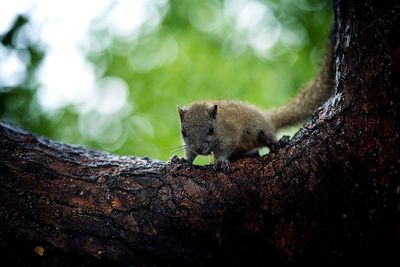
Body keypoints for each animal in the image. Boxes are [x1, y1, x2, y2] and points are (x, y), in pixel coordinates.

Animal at [175, 40, 334, 172]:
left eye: (211, 129)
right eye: (183, 132)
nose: (199, 149)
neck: (219, 122)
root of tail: (266, 116)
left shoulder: (229, 135)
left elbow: (223, 150)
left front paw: (220, 161)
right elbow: (189, 153)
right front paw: (184, 160)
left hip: (260, 128)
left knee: (268, 136)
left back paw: (276, 142)